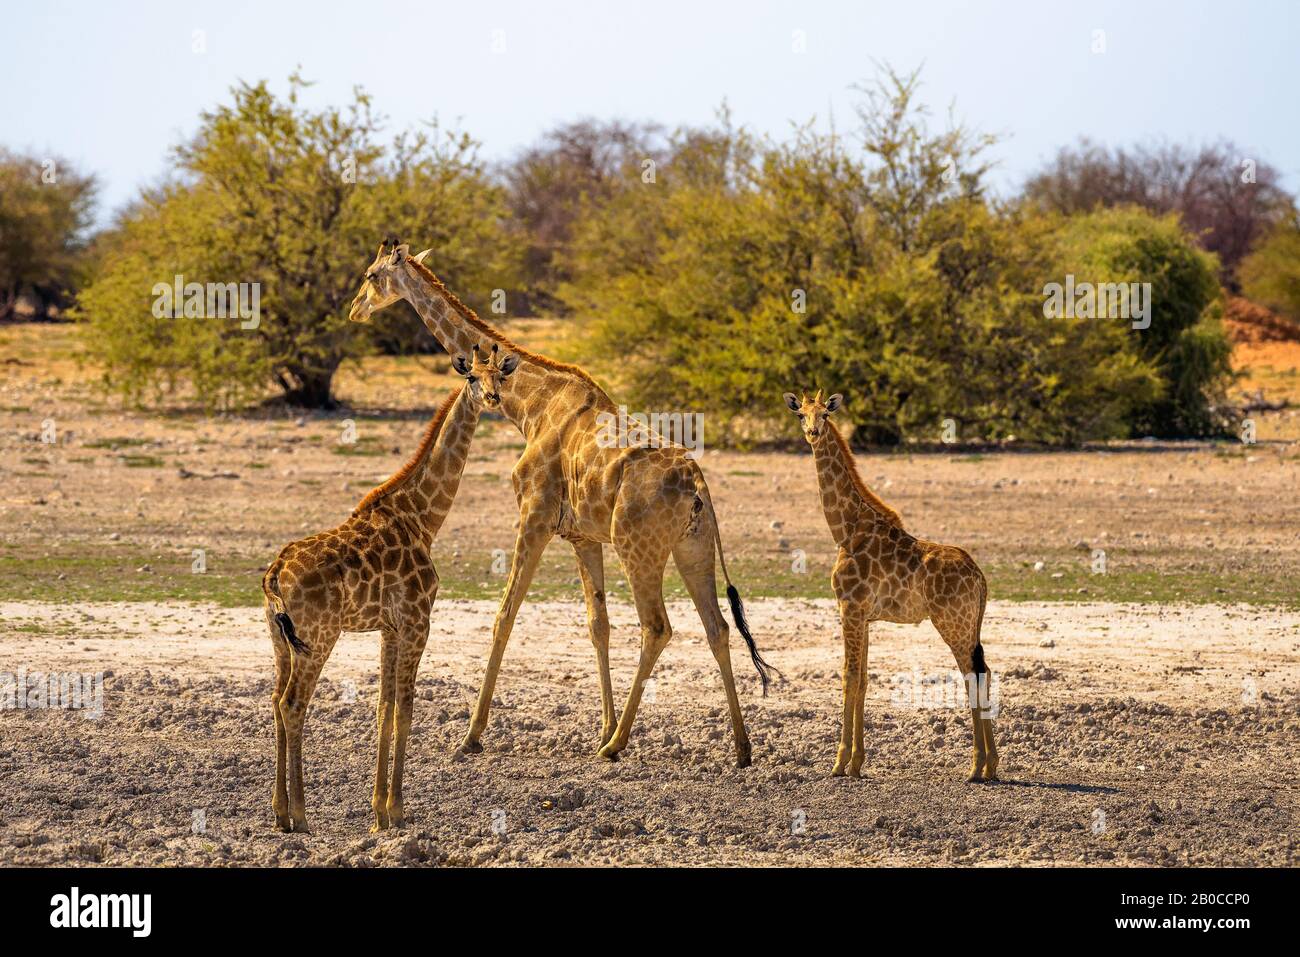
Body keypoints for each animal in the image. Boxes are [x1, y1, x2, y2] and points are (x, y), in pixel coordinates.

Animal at [263, 345, 517, 832]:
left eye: (499, 374)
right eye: (471, 377)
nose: (493, 398)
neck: (423, 518)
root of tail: (276, 572)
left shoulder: (389, 628)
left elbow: (382, 708)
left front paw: (378, 813)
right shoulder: (419, 621)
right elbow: (405, 708)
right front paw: (398, 812)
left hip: (279, 641)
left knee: (273, 700)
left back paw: (280, 814)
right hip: (318, 638)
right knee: (292, 704)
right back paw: (301, 816)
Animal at [345, 243, 774, 764]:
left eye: (371, 274)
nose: (355, 309)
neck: (530, 405)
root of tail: (697, 484)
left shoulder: (533, 516)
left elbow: (504, 617)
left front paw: (471, 736)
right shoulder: (582, 536)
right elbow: (597, 624)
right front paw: (599, 725)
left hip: (640, 550)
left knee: (657, 627)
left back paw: (616, 745)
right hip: (693, 548)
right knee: (717, 628)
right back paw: (740, 747)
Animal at [774, 392, 998, 780]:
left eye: (824, 414)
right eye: (800, 414)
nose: (813, 433)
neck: (846, 530)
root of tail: (979, 577)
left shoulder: (848, 607)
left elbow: (848, 677)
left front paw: (838, 763)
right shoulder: (865, 616)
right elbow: (863, 679)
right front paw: (856, 763)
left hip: (952, 623)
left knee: (973, 675)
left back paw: (976, 767)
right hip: (970, 625)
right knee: (983, 671)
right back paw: (991, 766)